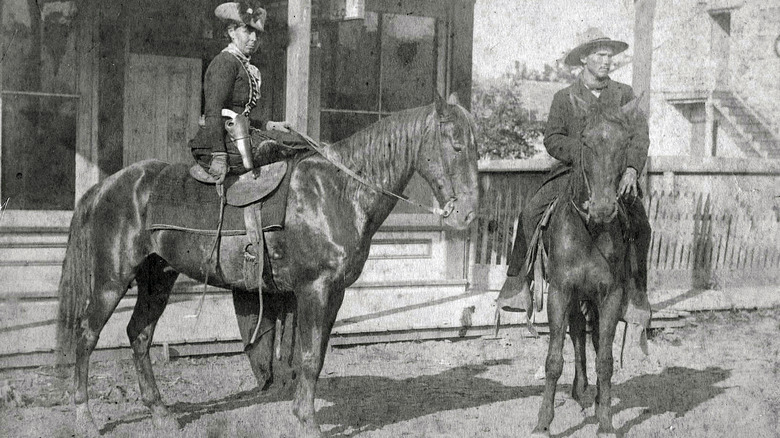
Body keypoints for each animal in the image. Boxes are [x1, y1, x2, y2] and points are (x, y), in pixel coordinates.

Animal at [54, 94, 478, 436]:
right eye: (456, 146)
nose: (469, 214)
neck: (337, 191)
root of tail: (106, 187)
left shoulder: (335, 293)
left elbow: (316, 355)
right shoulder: (314, 289)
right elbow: (309, 356)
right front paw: (308, 423)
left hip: (158, 278)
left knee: (139, 335)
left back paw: (161, 414)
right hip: (111, 281)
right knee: (86, 335)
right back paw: (84, 418)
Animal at [532, 94, 644, 436]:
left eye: (626, 142)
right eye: (585, 141)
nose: (603, 208)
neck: (589, 230)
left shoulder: (610, 296)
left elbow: (605, 360)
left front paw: (606, 421)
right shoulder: (560, 291)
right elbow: (554, 359)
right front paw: (543, 422)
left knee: (591, 340)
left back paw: (591, 398)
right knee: (578, 335)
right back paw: (579, 390)